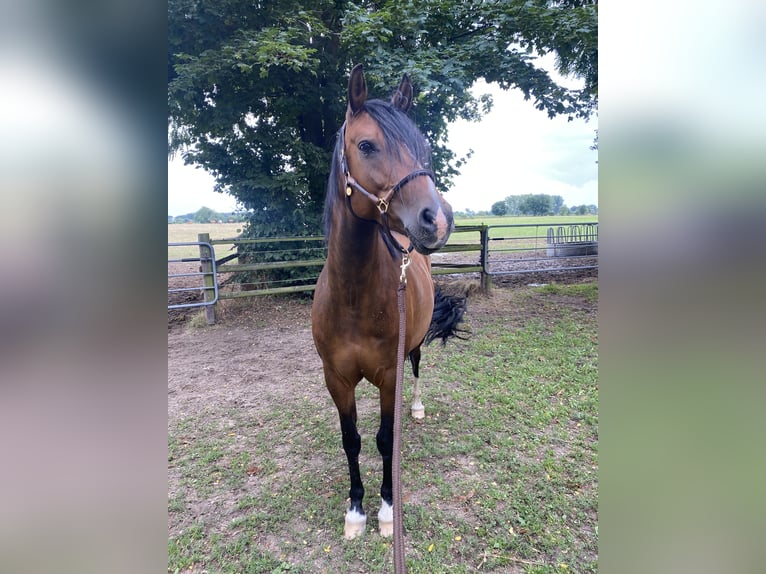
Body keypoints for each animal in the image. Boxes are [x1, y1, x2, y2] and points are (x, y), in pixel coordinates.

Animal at [312, 65, 468, 544]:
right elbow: (352, 440)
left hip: (411, 350)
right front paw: (355, 510)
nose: (438, 219)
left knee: (417, 369)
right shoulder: (336, 379)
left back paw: (414, 408)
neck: (353, 297)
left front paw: (385, 509)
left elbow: (384, 439)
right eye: (366, 145)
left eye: (424, 147)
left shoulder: (387, 374)